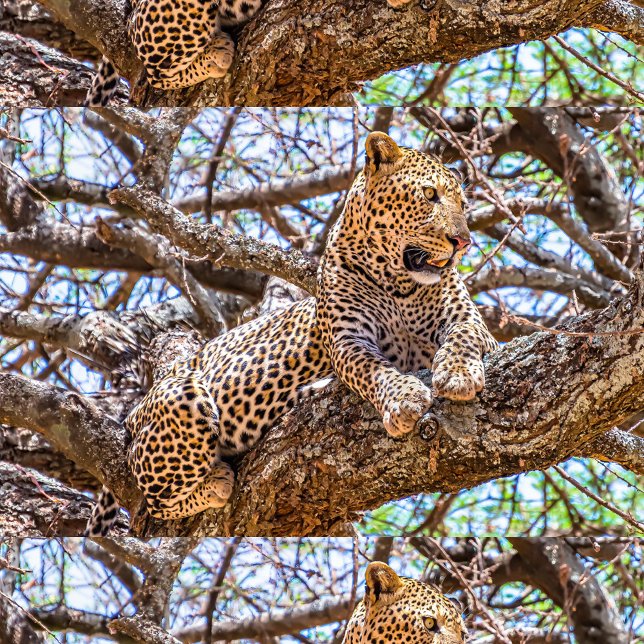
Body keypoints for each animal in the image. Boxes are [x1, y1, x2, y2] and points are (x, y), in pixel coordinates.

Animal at [85, 131, 498, 535]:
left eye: (462, 203)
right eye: (429, 194)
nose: (463, 242)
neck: (399, 282)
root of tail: (137, 408)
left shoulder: (470, 323)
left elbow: (463, 338)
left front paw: (457, 375)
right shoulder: (348, 343)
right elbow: (375, 370)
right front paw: (404, 398)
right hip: (182, 398)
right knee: (153, 506)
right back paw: (216, 482)